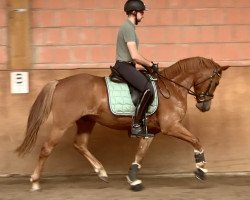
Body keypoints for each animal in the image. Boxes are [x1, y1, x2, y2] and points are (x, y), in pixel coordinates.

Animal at [16, 56, 229, 191]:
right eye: (216, 82)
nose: (204, 106)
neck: (171, 88)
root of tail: (60, 82)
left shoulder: (150, 131)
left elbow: (140, 154)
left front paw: (133, 179)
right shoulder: (171, 126)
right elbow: (196, 140)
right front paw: (201, 169)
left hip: (86, 121)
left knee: (80, 144)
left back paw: (101, 172)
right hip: (61, 124)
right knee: (47, 148)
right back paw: (35, 181)